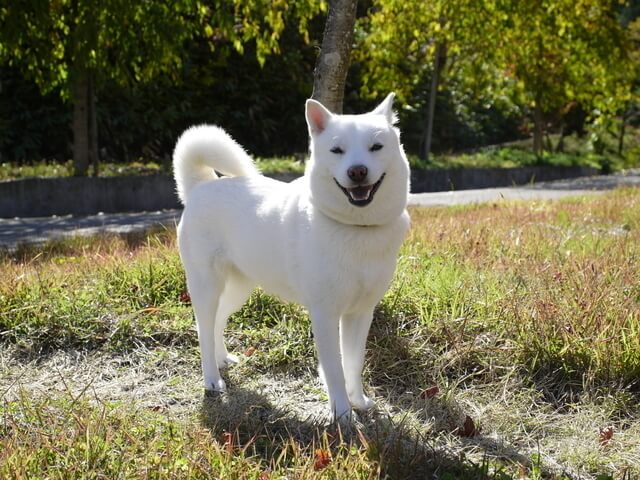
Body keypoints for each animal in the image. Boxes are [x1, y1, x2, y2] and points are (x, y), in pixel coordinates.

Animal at [172, 94, 410, 420]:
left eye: (376, 147)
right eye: (337, 150)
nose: (357, 171)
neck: (356, 229)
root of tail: (201, 185)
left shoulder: (361, 312)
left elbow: (354, 363)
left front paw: (358, 401)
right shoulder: (324, 315)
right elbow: (334, 369)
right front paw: (343, 414)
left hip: (238, 288)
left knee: (216, 322)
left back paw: (222, 360)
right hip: (206, 285)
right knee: (203, 329)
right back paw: (211, 378)